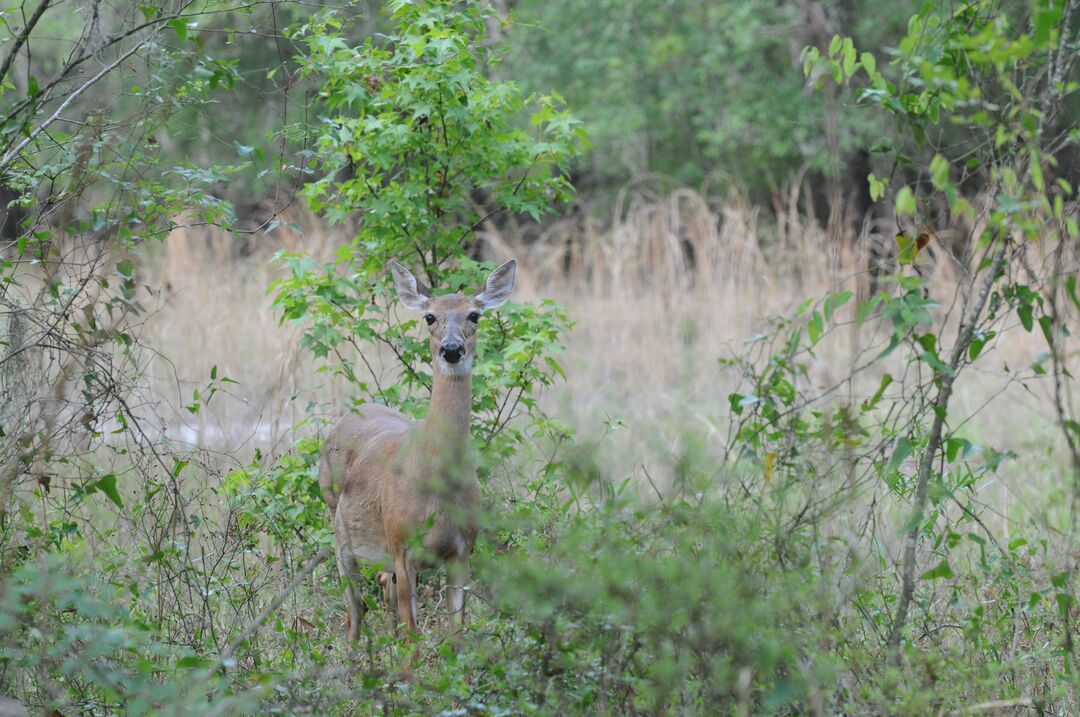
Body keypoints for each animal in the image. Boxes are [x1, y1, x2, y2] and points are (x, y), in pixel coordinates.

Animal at [317, 255, 516, 639]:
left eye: (474, 315)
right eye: (430, 317)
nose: (451, 349)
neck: (436, 480)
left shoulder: (462, 551)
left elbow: (456, 637)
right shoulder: (401, 546)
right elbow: (414, 639)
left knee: (382, 588)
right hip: (337, 526)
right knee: (354, 612)